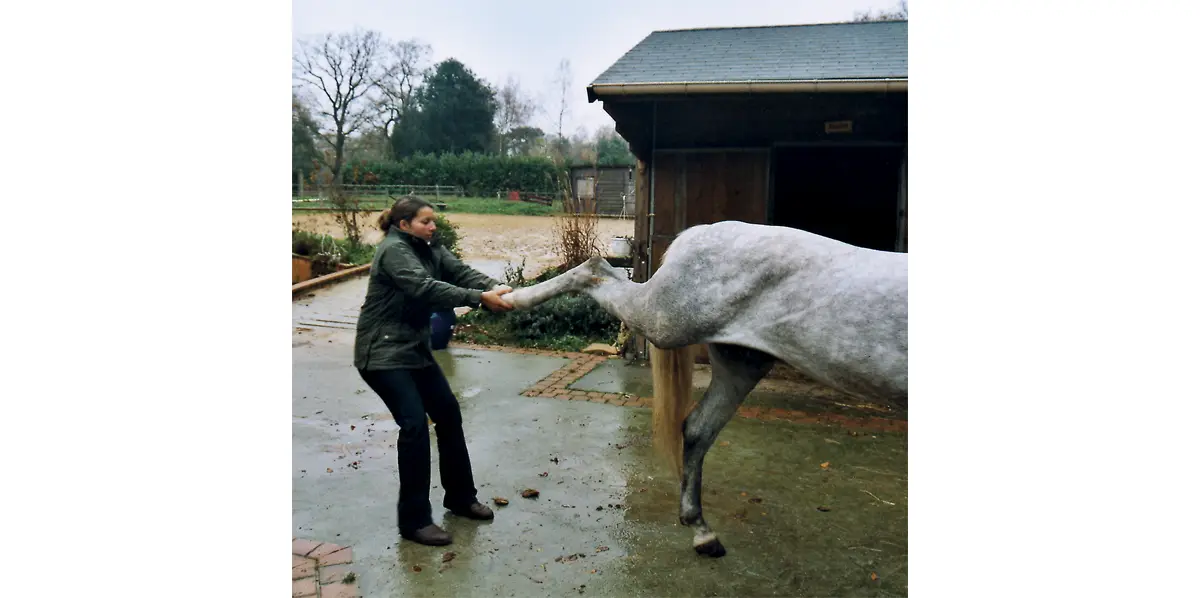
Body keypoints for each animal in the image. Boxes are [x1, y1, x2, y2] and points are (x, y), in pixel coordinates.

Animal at [502, 220, 908, 557]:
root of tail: (697, 233)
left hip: (741, 364)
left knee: (698, 429)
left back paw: (702, 532)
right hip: (664, 320)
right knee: (595, 270)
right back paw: (507, 299)